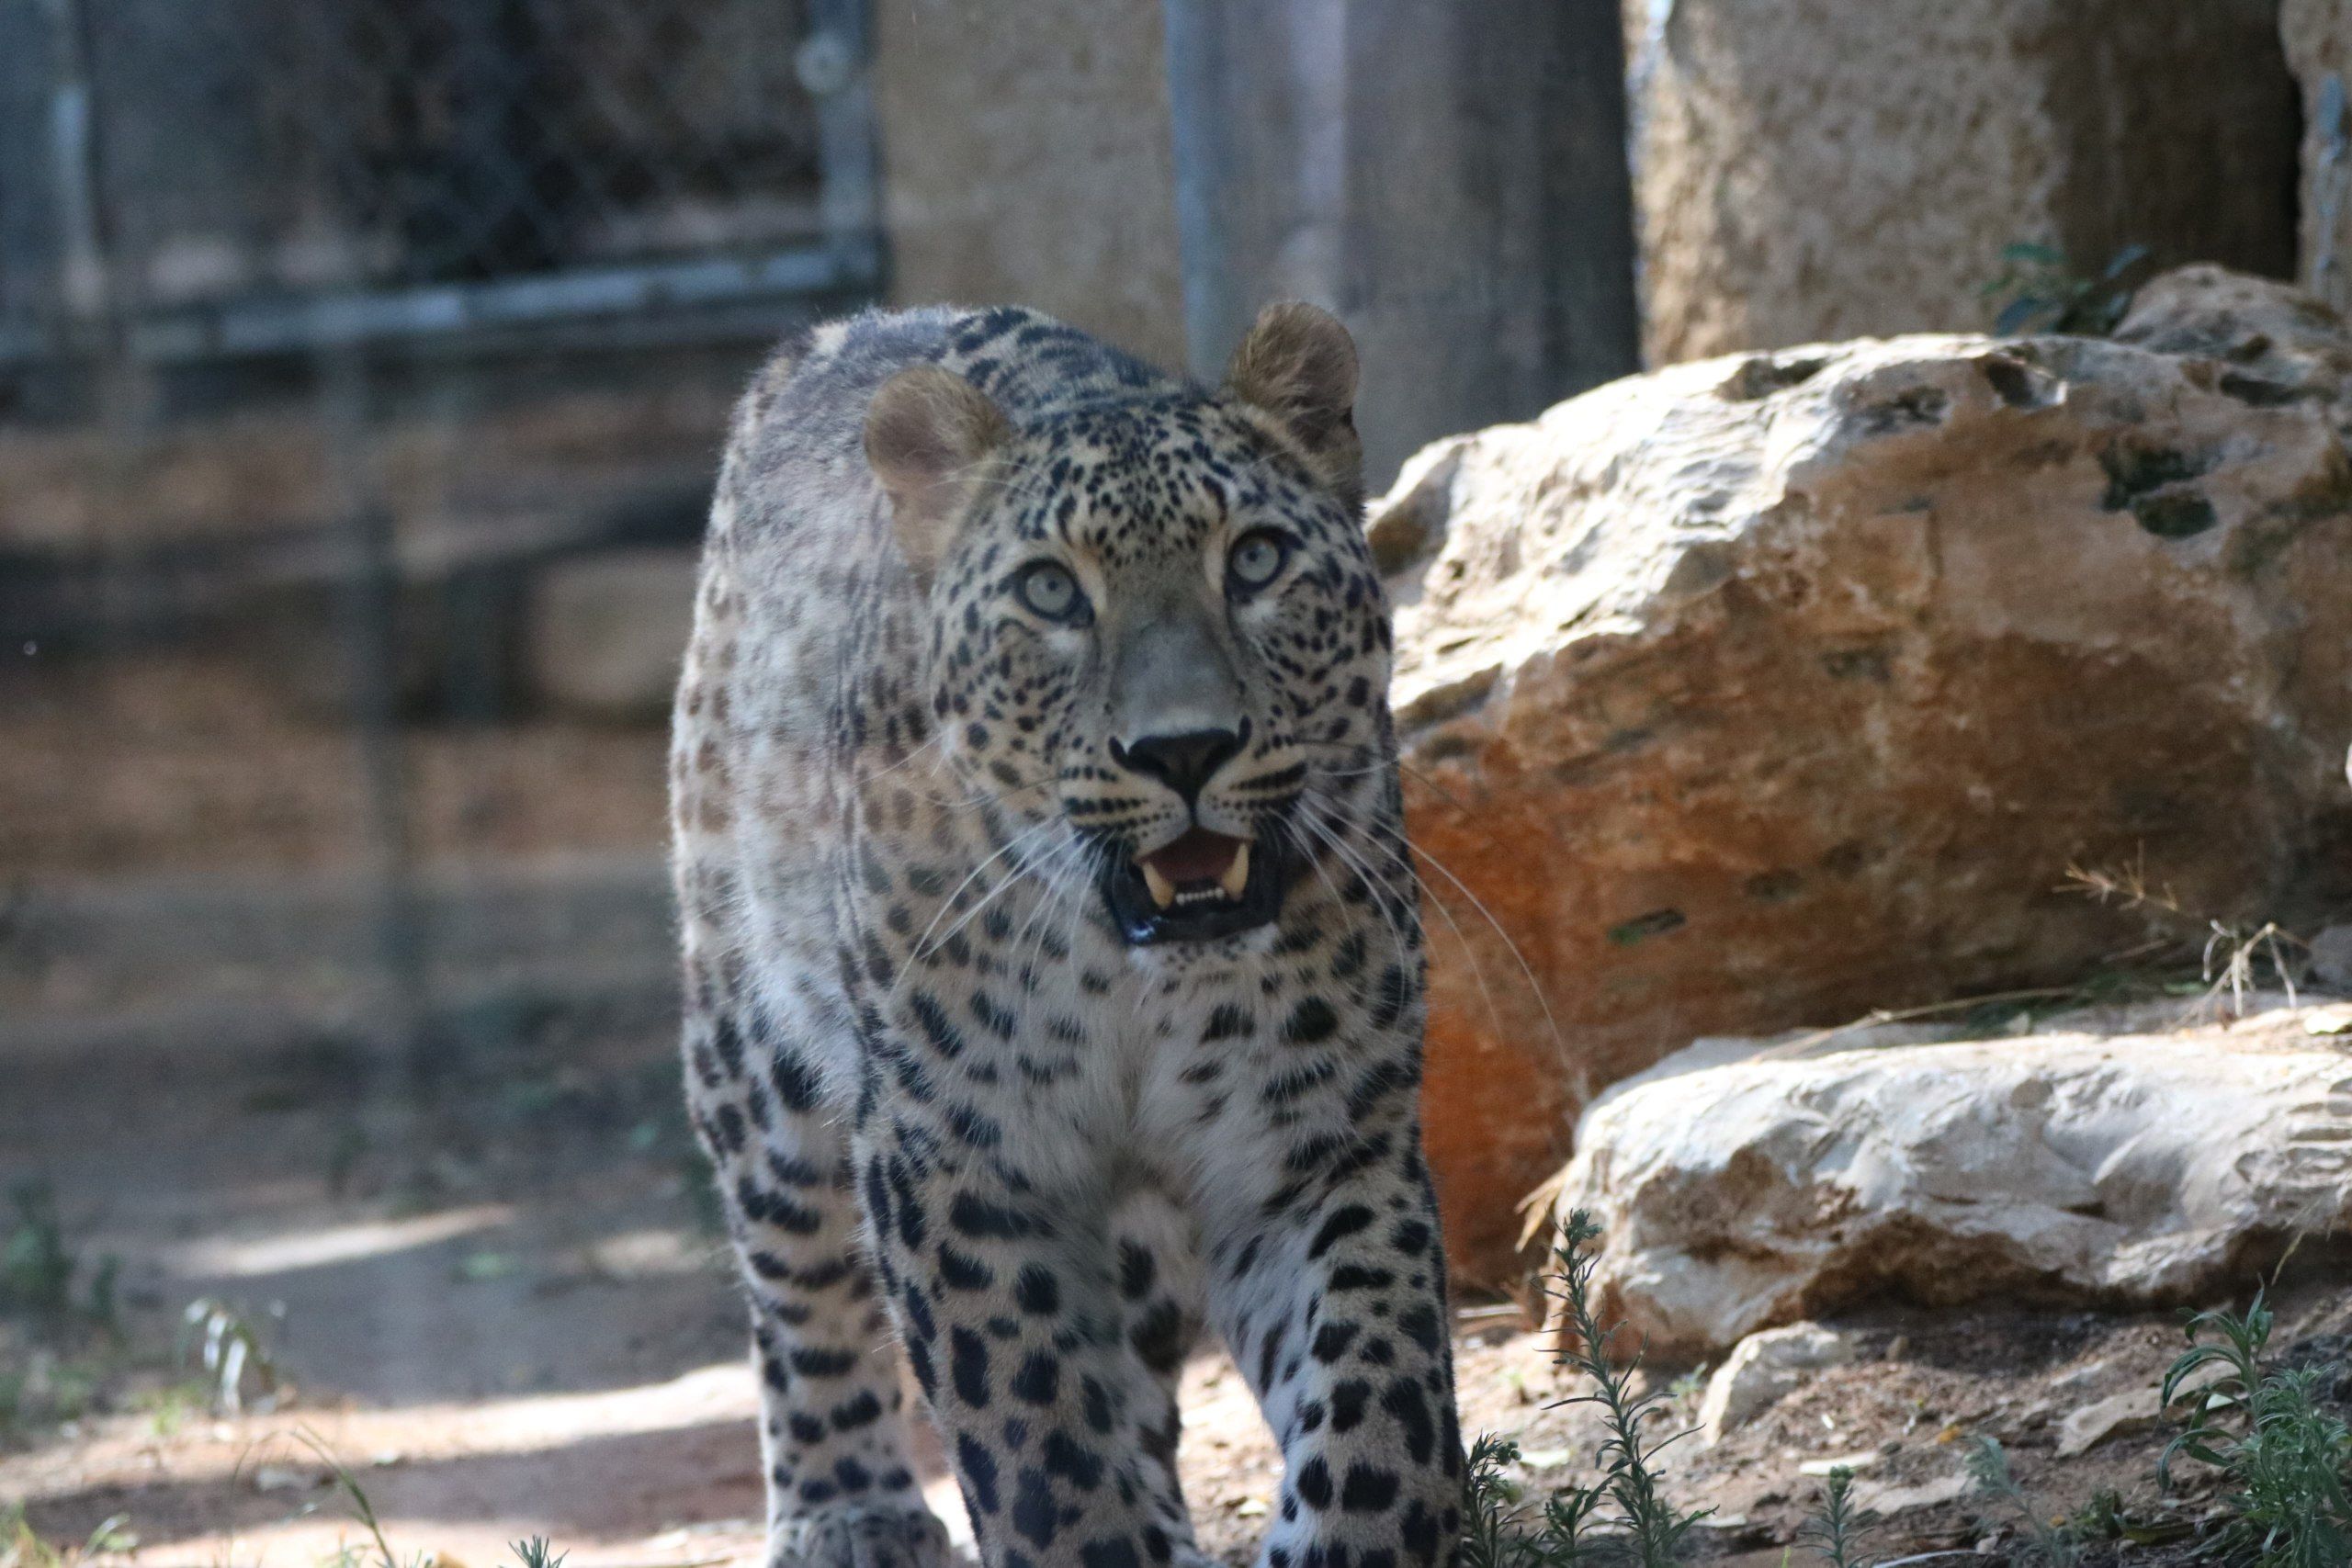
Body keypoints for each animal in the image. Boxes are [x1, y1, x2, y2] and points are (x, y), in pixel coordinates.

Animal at [669, 299, 1461, 1568]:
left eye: (1254, 560)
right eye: (1051, 593)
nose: (1184, 750)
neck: (1140, 981)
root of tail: (854, 324)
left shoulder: (1317, 1143)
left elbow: (1375, 1389)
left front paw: (1348, 1539)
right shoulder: (959, 1154)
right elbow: (1035, 1430)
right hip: (751, 1037)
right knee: (793, 1269)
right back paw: (849, 1512)